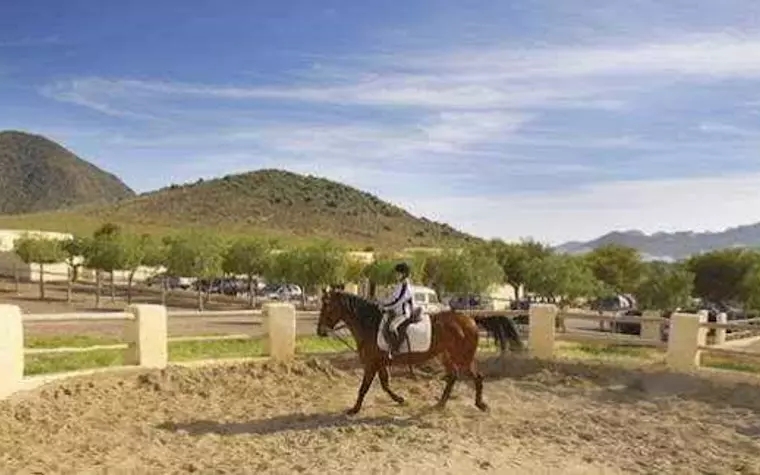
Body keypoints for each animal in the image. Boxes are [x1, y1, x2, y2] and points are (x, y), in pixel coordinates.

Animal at [314, 288, 524, 414]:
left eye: (328, 307)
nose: (320, 331)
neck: (370, 324)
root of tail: (470, 319)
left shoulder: (372, 363)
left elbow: (364, 387)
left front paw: (354, 409)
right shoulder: (379, 363)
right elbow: (385, 384)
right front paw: (400, 399)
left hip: (463, 357)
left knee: (477, 377)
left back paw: (480, 405)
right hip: (445, 355)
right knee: (453, 376)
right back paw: (440, 404)